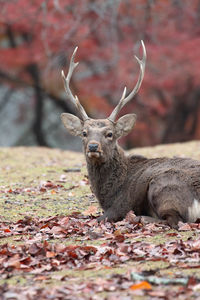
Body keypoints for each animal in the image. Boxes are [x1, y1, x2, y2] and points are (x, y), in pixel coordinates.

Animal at [60, 41, 200, 229]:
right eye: (84, 133)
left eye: (110, 133)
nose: (93, 146)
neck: (109, 194)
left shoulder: (120, 205)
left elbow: (99, 218)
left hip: (163, 187)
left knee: (173, 220)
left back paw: (141, 218)